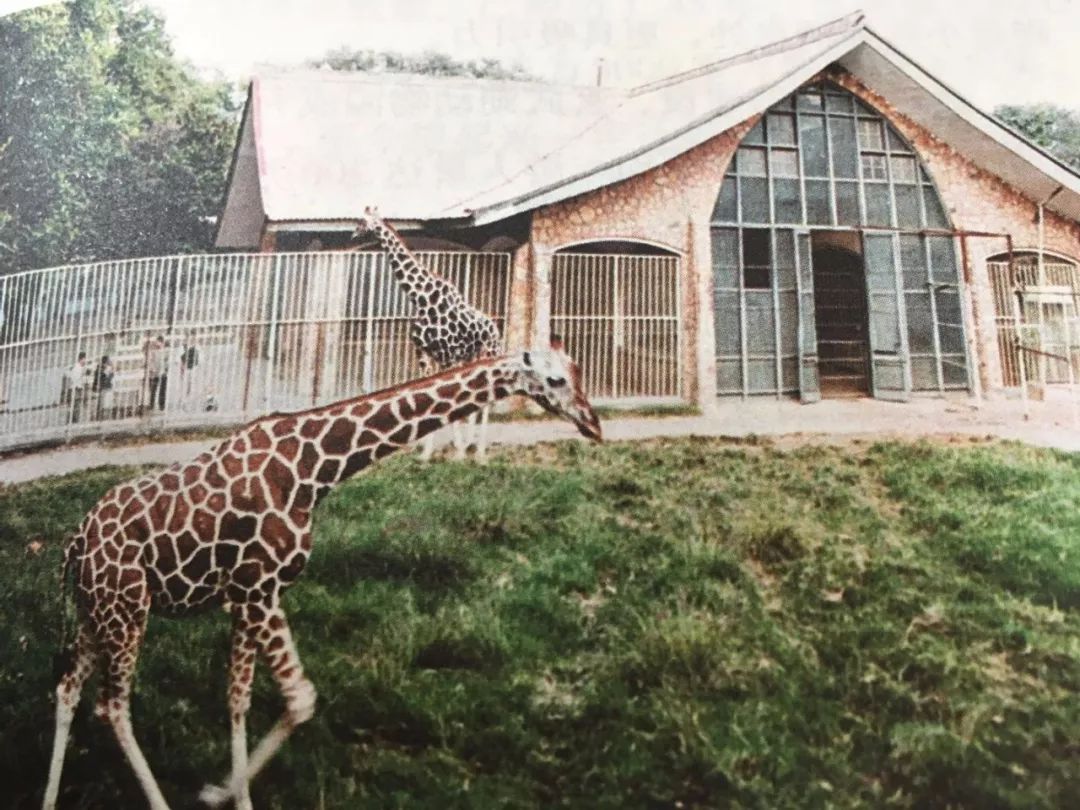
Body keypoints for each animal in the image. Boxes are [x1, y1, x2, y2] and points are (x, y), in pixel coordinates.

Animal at [42, 345, 604, 807]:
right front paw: (218, 792)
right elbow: (300, 699)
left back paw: (48, 799)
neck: (312, 469)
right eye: (555, 379)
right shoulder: (258, 589)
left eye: (579, 369)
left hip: (98, 611)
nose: (593, 424)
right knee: (111, 706)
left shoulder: (251, 594)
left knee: (68, 689)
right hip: (126, 610)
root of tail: (76, 542)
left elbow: (239, 698)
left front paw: (236, 797)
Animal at [356, 207, 503, 462]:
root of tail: (495, 328)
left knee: (487, 398)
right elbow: (426, 400)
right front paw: (426, 454)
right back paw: (472, 446)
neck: (422, 299)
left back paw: (479, 453)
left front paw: (457, 453)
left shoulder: (447, 355)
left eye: (364, 220)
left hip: (488, 355)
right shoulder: (424, 354)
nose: (354, 232)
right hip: (471, 358)